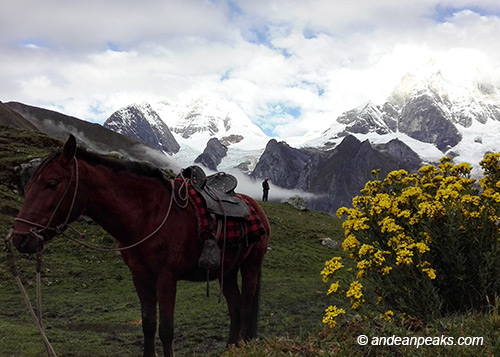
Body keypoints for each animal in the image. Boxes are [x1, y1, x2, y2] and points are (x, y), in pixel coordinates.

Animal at [10, 134, 270, 356]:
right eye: (29, 182)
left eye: (52, 183)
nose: (19, 238)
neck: (149, 216)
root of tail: (255, 206)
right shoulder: (140, 277)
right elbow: (148, 325)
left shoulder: (166, 278)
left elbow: (166, 330)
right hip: (227, 271)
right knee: (235, 307)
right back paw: (231, 347)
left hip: (251, 266)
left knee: (245, 306)